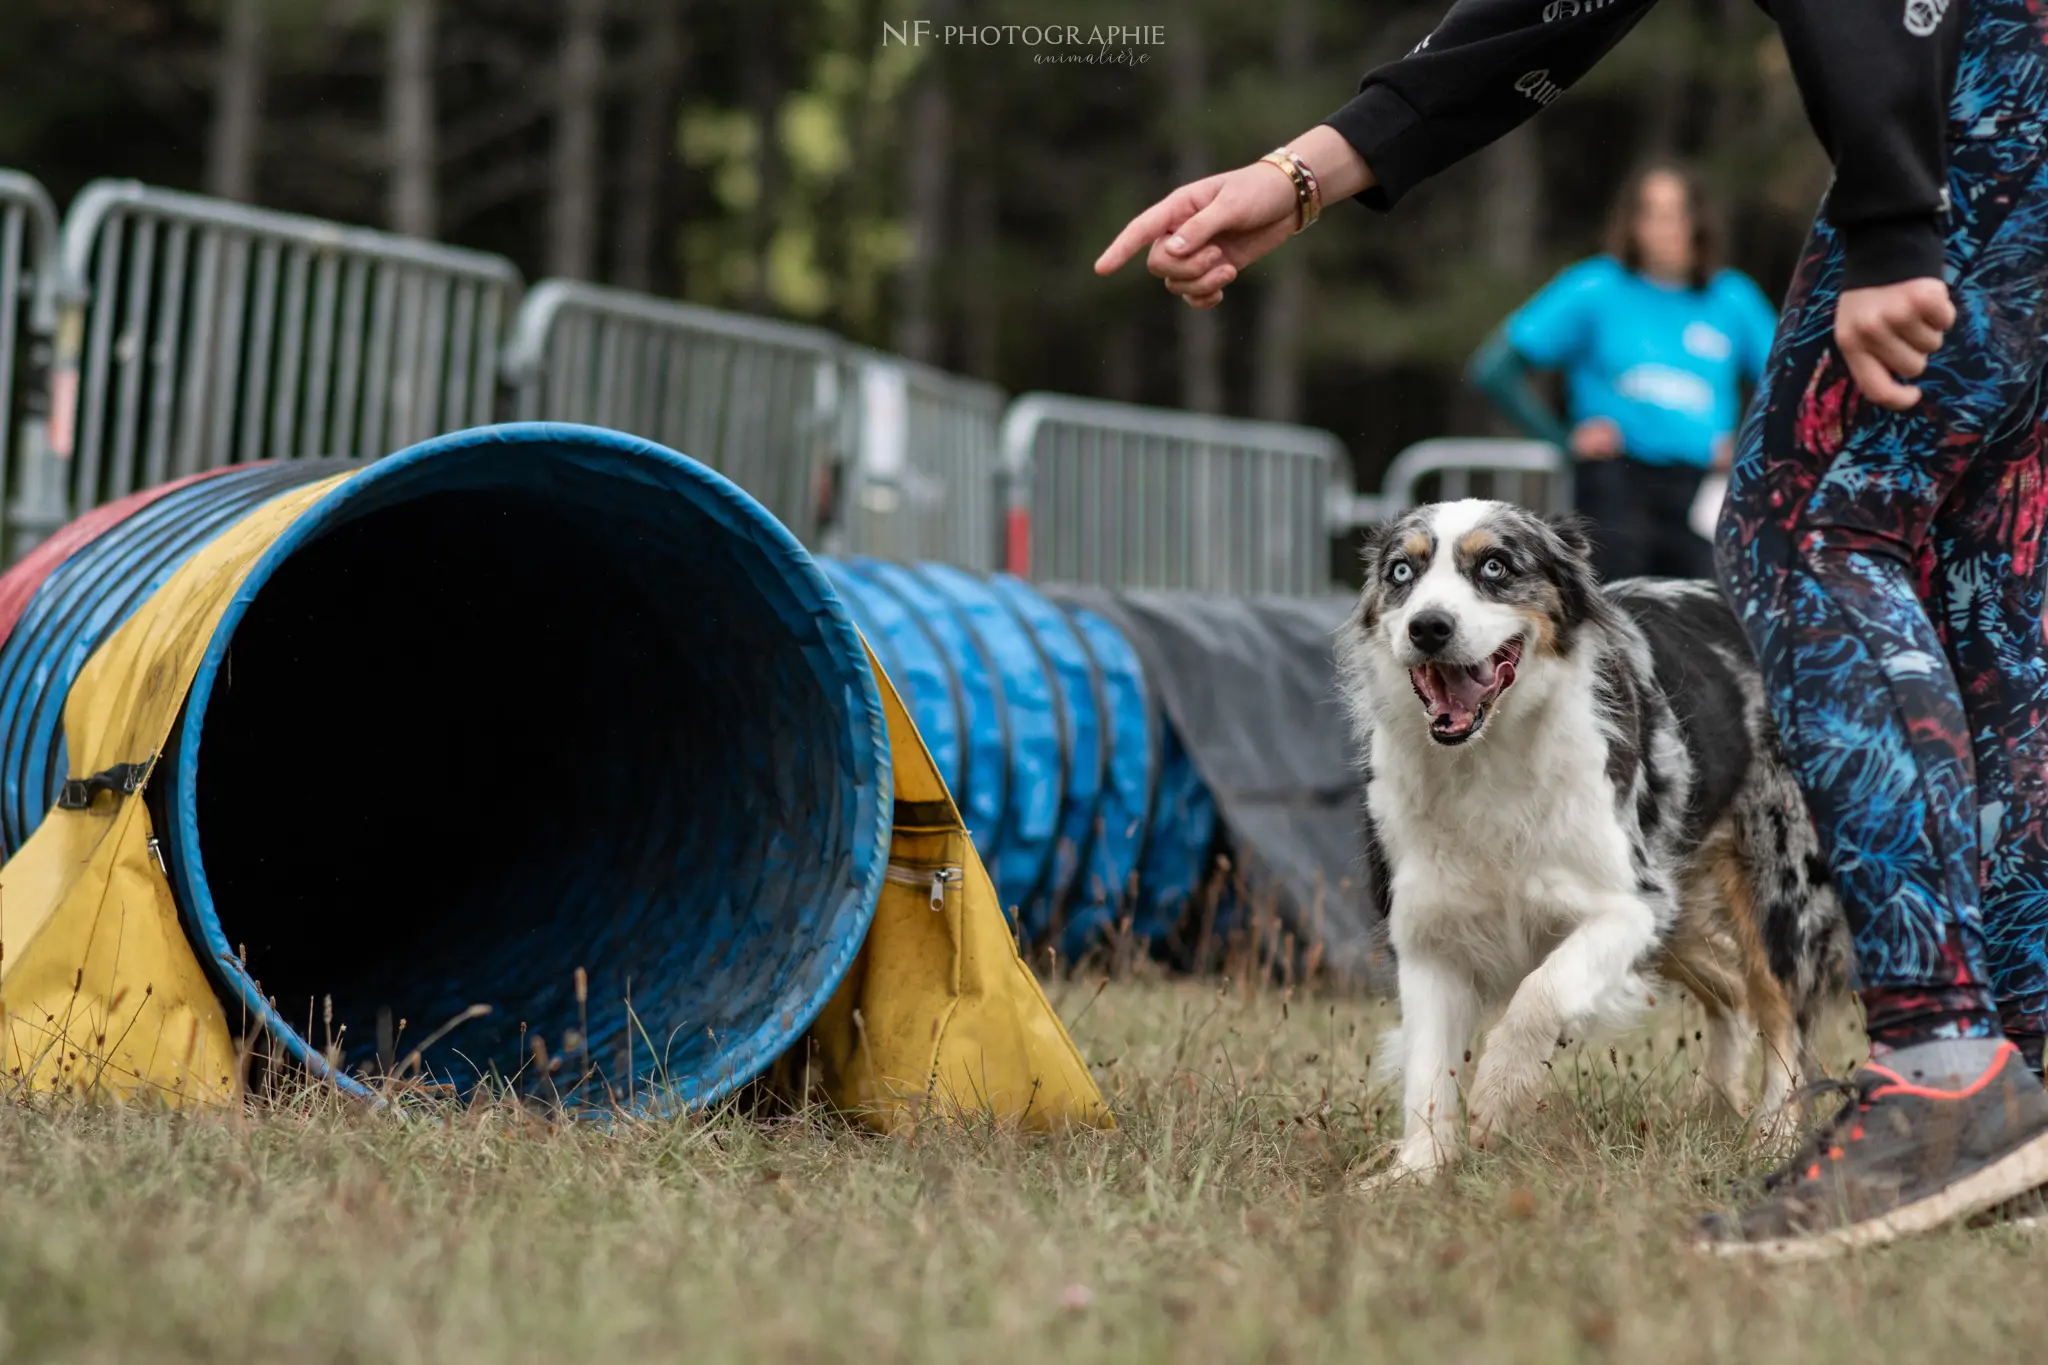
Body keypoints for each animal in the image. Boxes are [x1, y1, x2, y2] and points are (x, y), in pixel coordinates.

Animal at [1335, 501, 1851, 1186]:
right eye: (1401, 572)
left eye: (1496, 566)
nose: (1428, 627)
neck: (1485, 758)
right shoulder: (1427, 931)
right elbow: (1428, 1070)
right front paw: (1417, 1173)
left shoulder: (1629, 905)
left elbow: (1541, 991)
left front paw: (1500, 1094)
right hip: (1680, 904)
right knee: (1735, 993)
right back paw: (1716, 1107)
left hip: (1774, 891)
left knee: (1783, 1013)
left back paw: (1772, 1138)